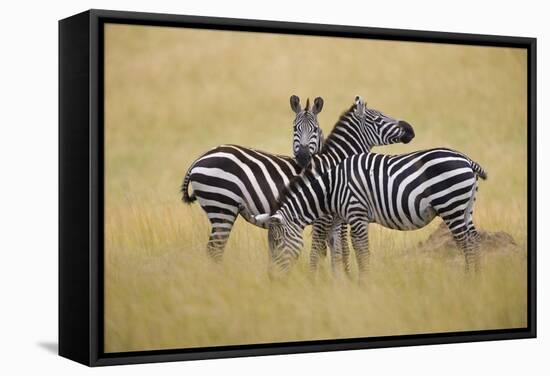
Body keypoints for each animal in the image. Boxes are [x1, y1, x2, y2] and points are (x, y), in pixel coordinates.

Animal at [181, 96, 328, 262]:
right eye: (295, 128)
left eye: (315, 129)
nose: (302, 157)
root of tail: (198, 159)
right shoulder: (323, 218)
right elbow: (320, 251)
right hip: (222, 206)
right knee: (215, 249)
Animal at [256, 103, 490, 280]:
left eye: (277, 243)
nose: (273, 278)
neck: (328, 186)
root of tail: (465, 159)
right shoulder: (341, 217)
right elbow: (342, 249)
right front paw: (341, 281)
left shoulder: (351, 214)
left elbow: (346, 250)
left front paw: (353, 282)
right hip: (465, 207)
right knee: (474, 240)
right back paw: (476, 279)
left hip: (451, 205)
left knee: (465, 243)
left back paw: (467, 279)